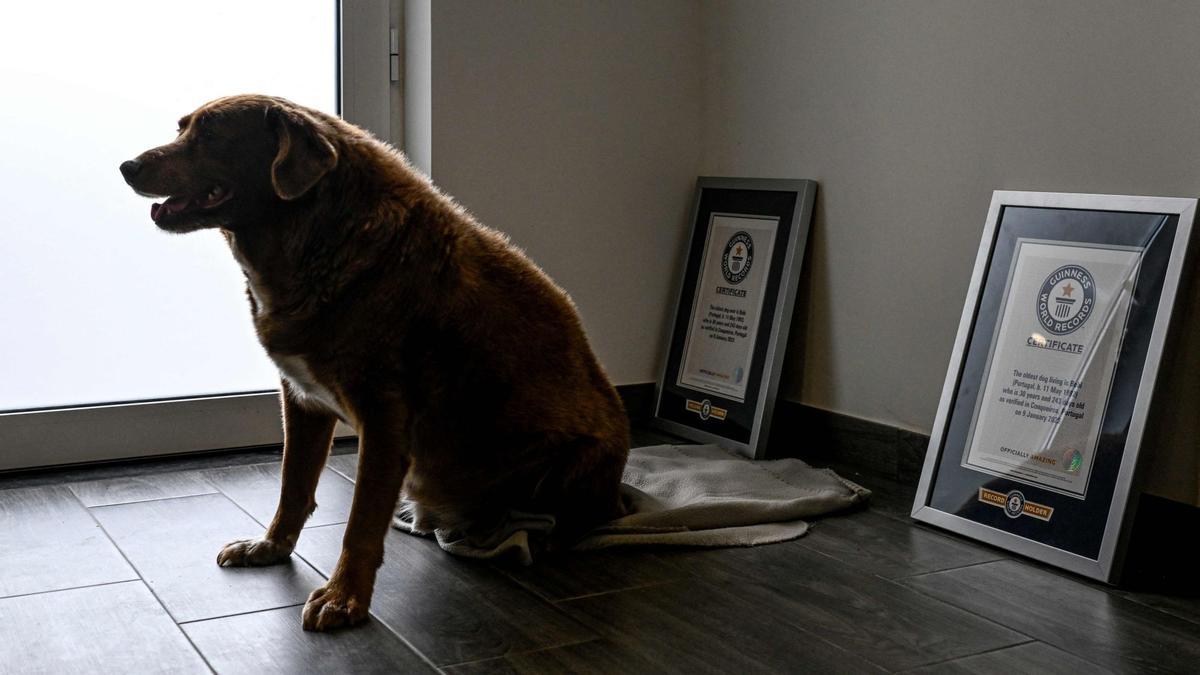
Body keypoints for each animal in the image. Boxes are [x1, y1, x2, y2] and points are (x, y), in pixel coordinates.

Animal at [118, 94, 633, 629]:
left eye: (212, 135)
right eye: (181, 128)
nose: (126, 167)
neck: (318, 237)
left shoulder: (384, 418)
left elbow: (361, 520)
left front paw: (344, 597)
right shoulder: (301, 400)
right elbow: (292, 486)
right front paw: (270, 547)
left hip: (570, 461)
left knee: (560, 520)